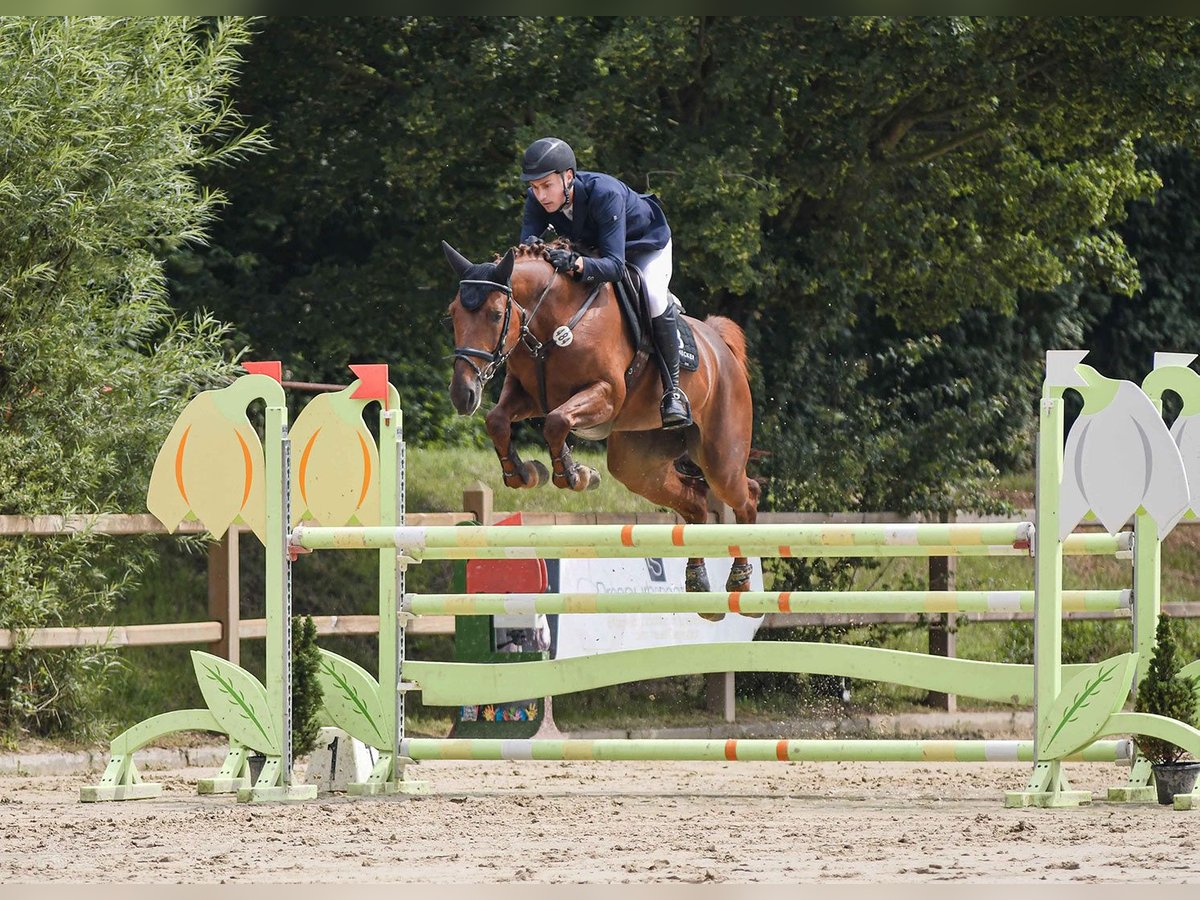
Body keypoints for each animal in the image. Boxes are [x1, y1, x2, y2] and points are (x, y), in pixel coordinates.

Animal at [441, 237, 758, 600]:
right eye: (453, 314)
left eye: (495, 315)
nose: (462, 394)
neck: (553, 319)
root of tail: (720, 348)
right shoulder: (527, 394)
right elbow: (497, 421)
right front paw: (523, 472)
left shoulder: (606, 393)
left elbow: (556, 422)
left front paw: (573, 474)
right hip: (637, 465)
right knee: (696, 505)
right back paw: (698, 582)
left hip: (721, 456)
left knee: (746, 496)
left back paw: (740, 580)